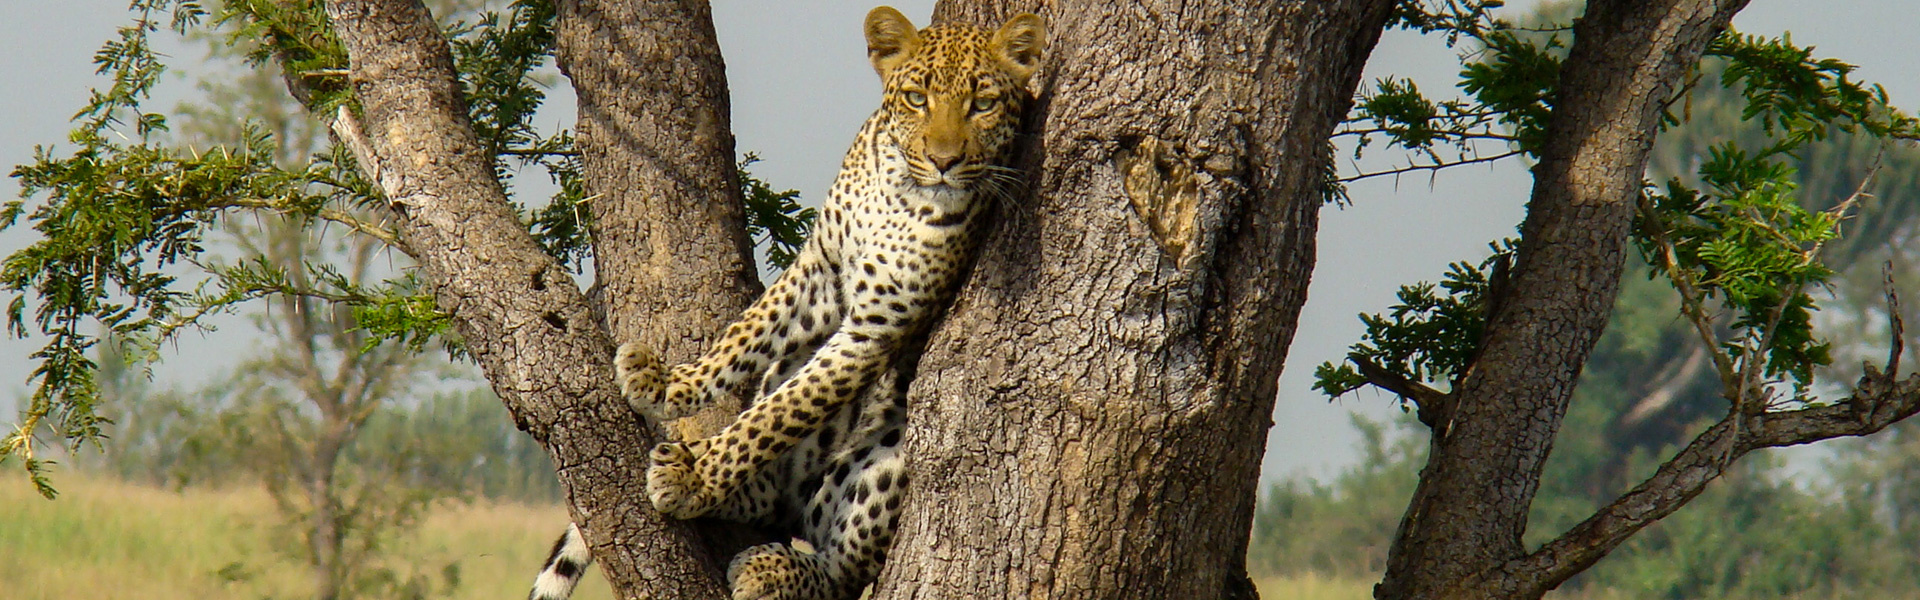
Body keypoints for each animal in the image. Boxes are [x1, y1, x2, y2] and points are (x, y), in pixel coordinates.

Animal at [529, 8, 1052, 600]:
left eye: (983, 105)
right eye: (917, 98)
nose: (945, 161)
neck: (900, 190)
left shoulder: (874, 329)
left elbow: (776, 417)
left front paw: (694, 478)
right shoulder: (820, 269)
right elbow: (743, 336)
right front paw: (668, 384)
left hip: (887, 461)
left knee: (844, 569)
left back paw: (767, 565)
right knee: (772, 496)